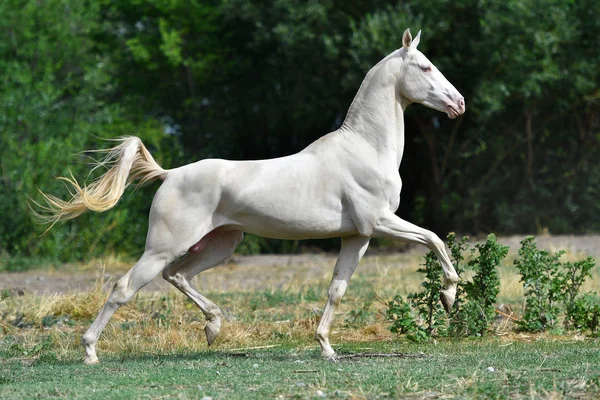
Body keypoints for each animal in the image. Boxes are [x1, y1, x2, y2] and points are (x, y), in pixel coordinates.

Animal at [37, 29, 466, 364]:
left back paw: (213, 327)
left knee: (177, 275)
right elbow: (435, 239)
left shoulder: (357, 236)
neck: (365, 149)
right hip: (164, 246)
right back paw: (90, 351)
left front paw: (326, 347)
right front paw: (448, 295)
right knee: (126, 287)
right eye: (425, 67)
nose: (458, 104)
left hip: (222, 243)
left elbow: (337, 289)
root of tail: (170, 174)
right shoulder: (379, 222)